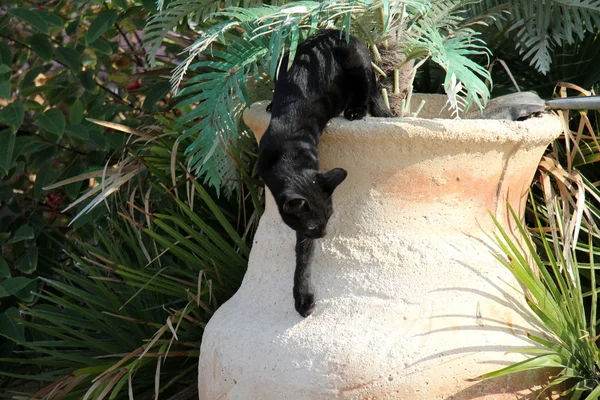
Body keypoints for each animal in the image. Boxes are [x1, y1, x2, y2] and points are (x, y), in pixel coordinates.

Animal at [256, 28, 394, 318]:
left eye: (329, 217)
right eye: (313, 224)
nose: (322, 235)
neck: (286, 152)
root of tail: (333, 30)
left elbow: (303, 257)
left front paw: (302, 298)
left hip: (357, 62)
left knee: (369, 89)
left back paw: (357, 111)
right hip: (284, 56)